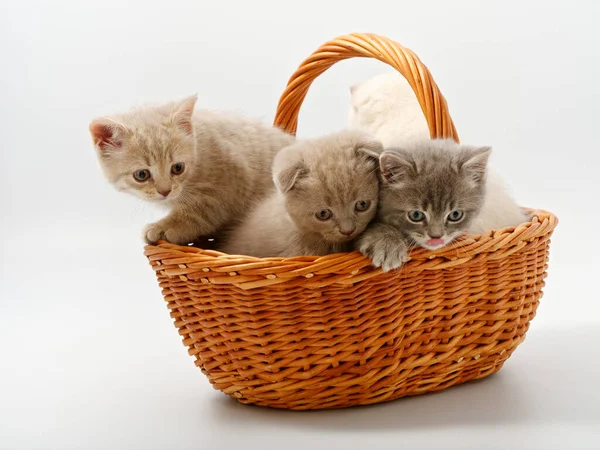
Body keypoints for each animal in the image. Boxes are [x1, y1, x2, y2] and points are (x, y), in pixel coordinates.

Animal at [90, 92, 294, 244]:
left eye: (177, 168)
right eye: (141, 174)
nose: (165, 191)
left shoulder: (231, 181)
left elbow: (201, 211)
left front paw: (164, 227)